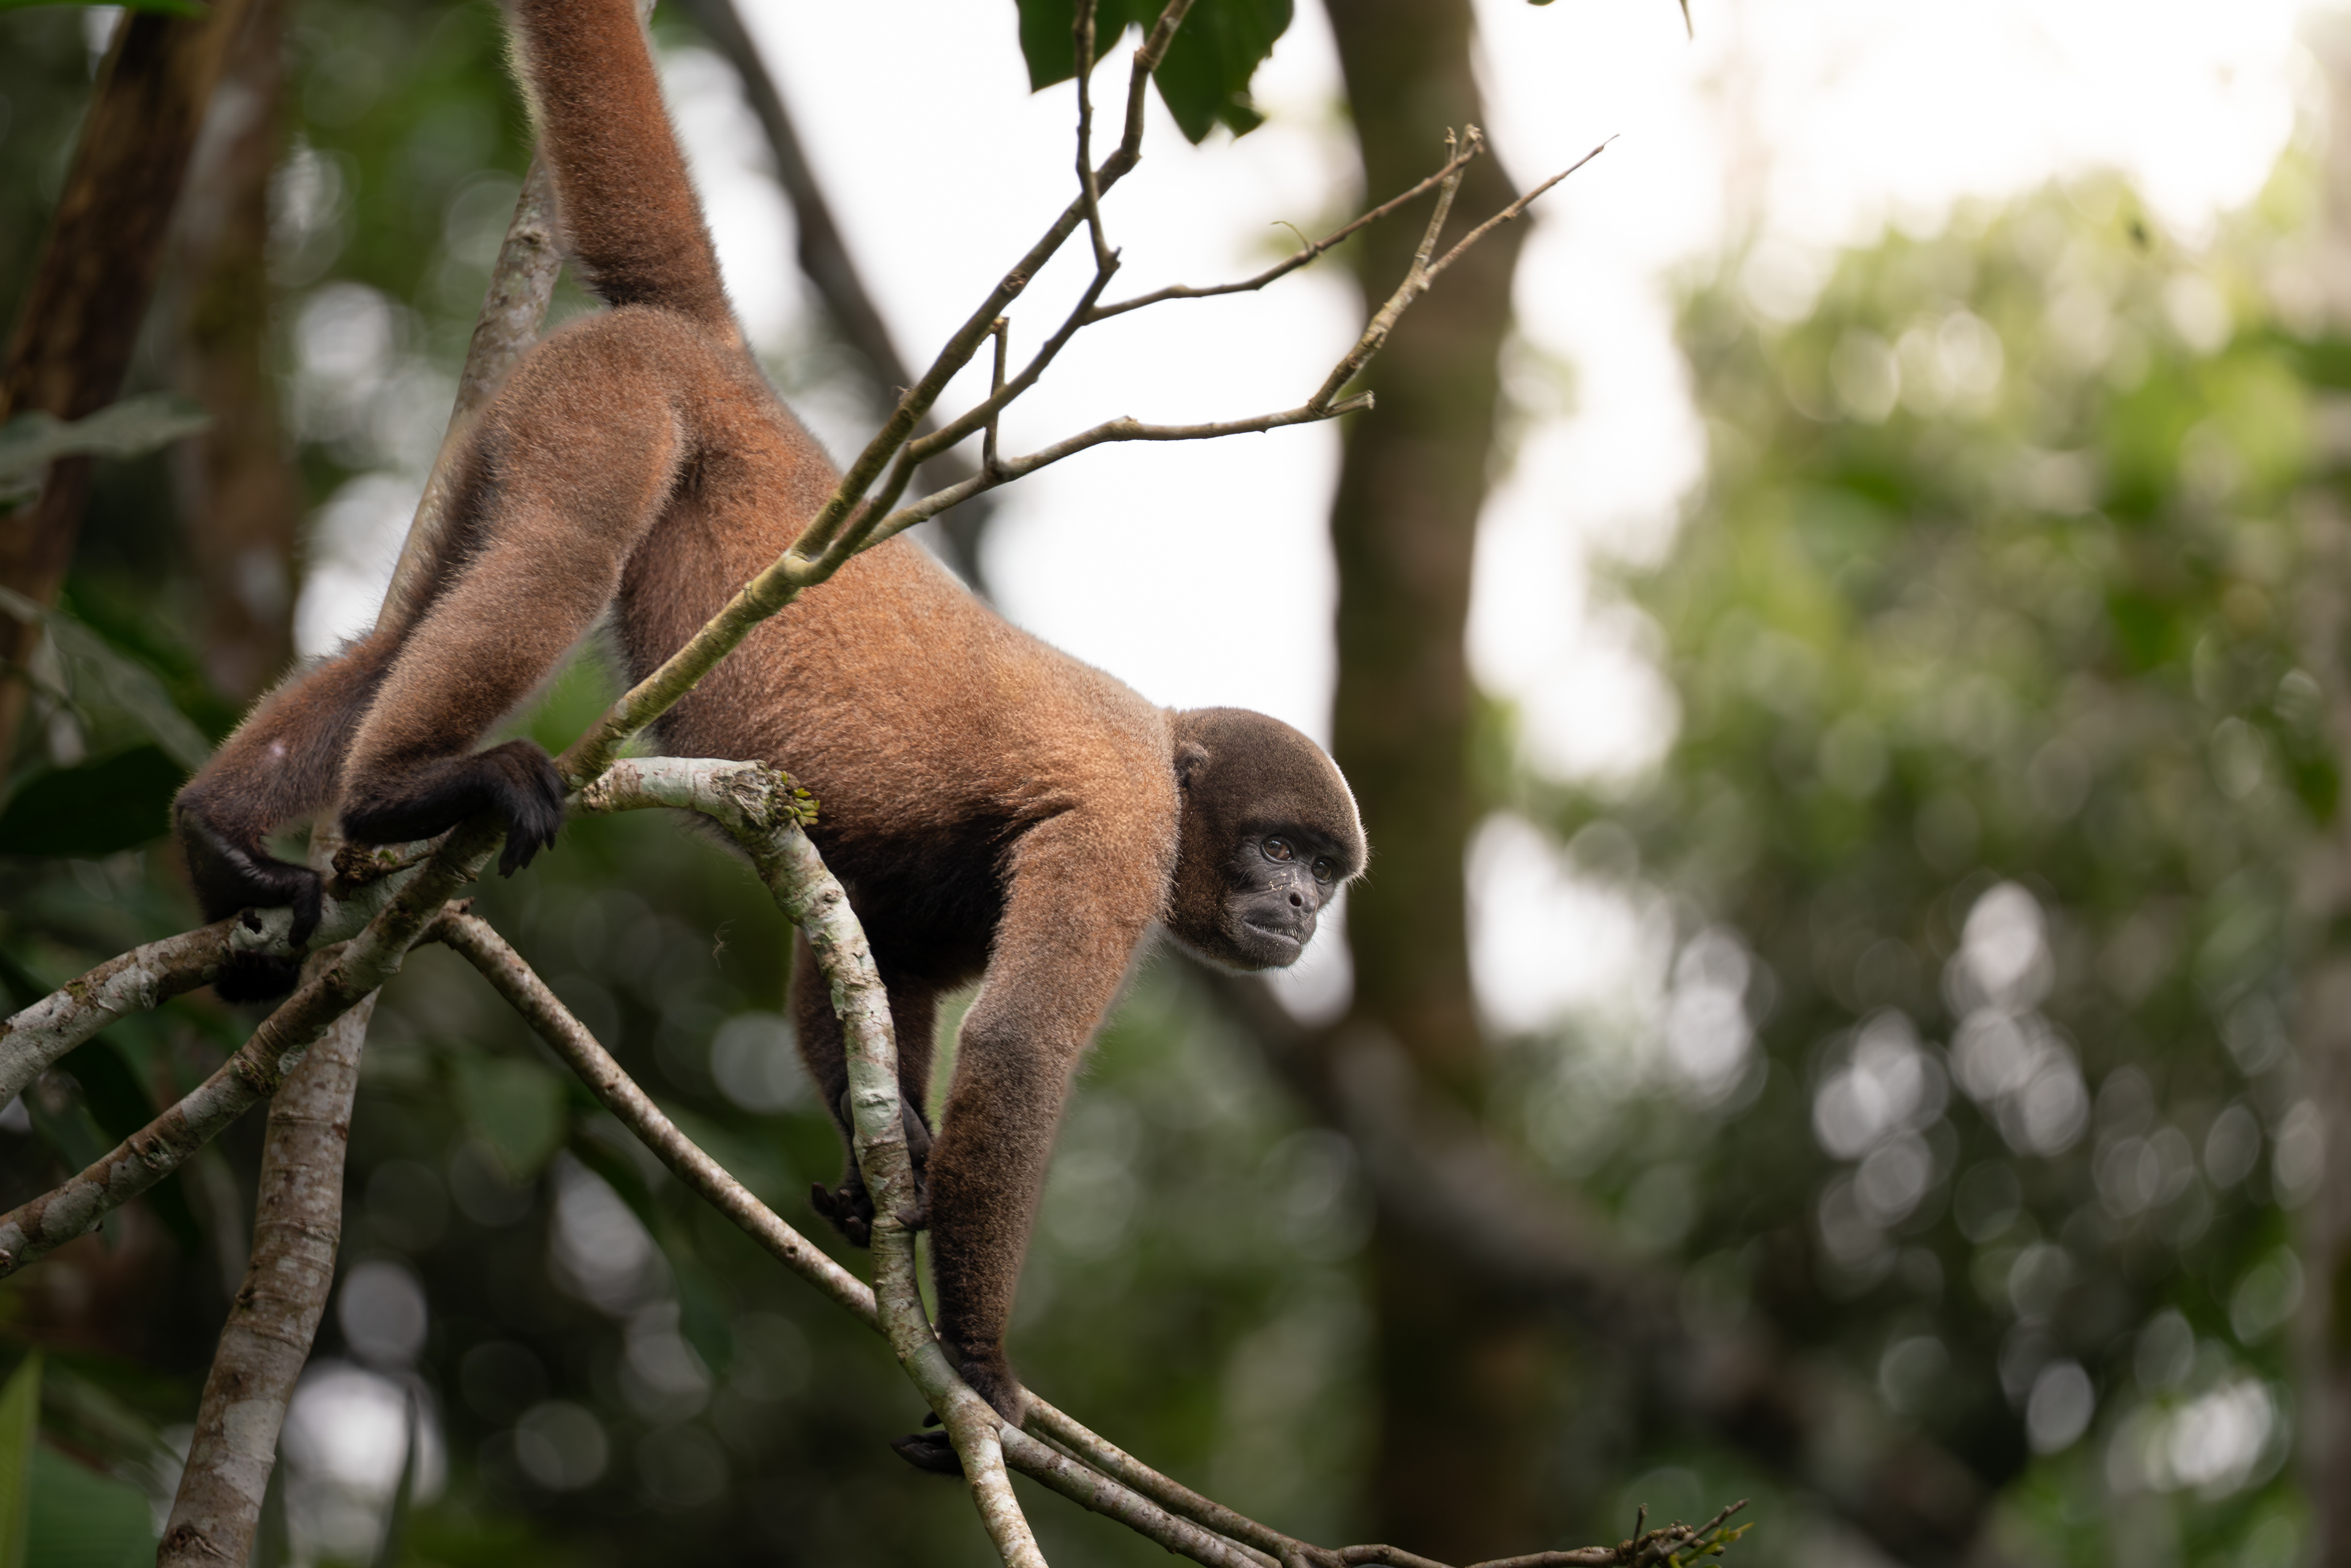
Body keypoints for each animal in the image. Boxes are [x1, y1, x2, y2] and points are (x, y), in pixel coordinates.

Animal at [169, 0, 1366, 1443]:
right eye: (1284, 852)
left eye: (1326, 876)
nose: (1300, 909)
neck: (1176, 759)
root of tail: (725, 360)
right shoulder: (1124, 814)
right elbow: (1018, 1050)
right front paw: (981, 1365)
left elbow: (876, 963)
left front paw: (889, 1169)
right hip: (620, 397)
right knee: (562, 554)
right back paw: (401, 788)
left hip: (514, 415)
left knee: (406, 626)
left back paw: (223, 835)